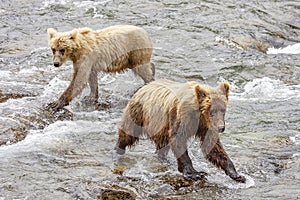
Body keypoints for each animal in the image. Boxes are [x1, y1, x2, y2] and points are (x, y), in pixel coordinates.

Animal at [115, 79, 246, 182]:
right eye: (212, 111)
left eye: (223, 110)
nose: (221, 128)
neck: (199, 115)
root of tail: (143, 87)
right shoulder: (182, 116)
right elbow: (179, 139)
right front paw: (194, 173)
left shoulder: (206, 126)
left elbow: (212, 146)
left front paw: (236, 174)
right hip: (139, 113)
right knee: (128, 134)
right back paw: (118, 149)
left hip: (160, 127)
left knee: (162, 145)